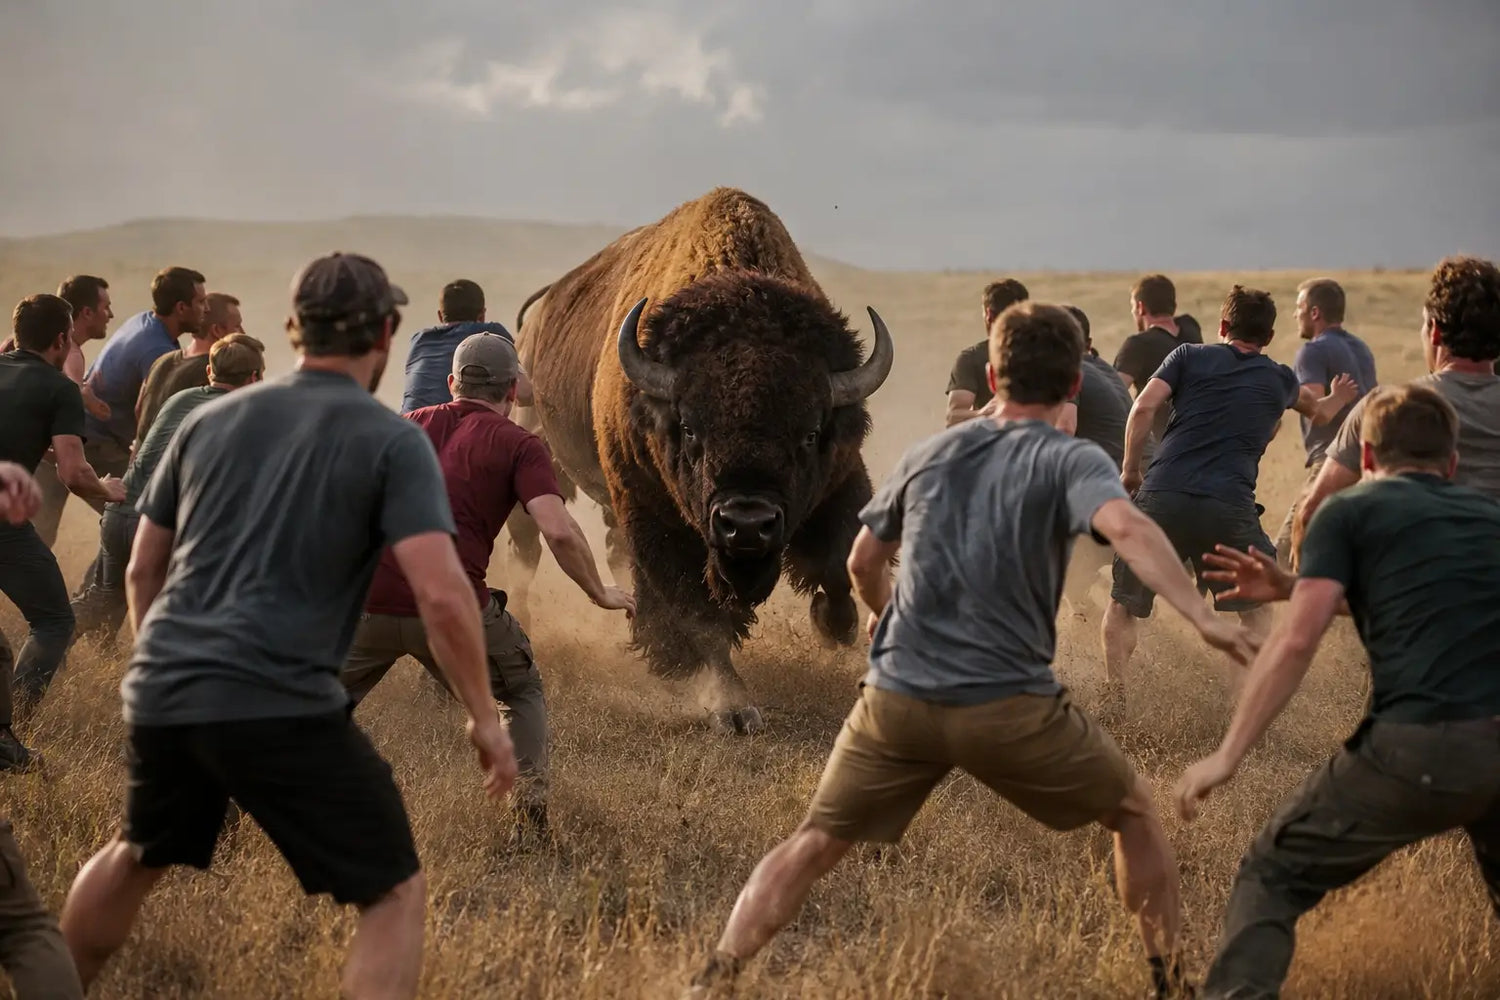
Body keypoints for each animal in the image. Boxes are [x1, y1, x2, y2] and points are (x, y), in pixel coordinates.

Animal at [508, 188, 893, 732]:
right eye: (690, 428)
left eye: (810, 433)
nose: (747, 525)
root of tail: (536, 320)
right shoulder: (658, 518)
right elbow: (699, 616)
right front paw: (732, 707)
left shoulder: (839, 482)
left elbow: (837, 562)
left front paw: (835, 626)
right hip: (545, 455)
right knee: (528, 546)